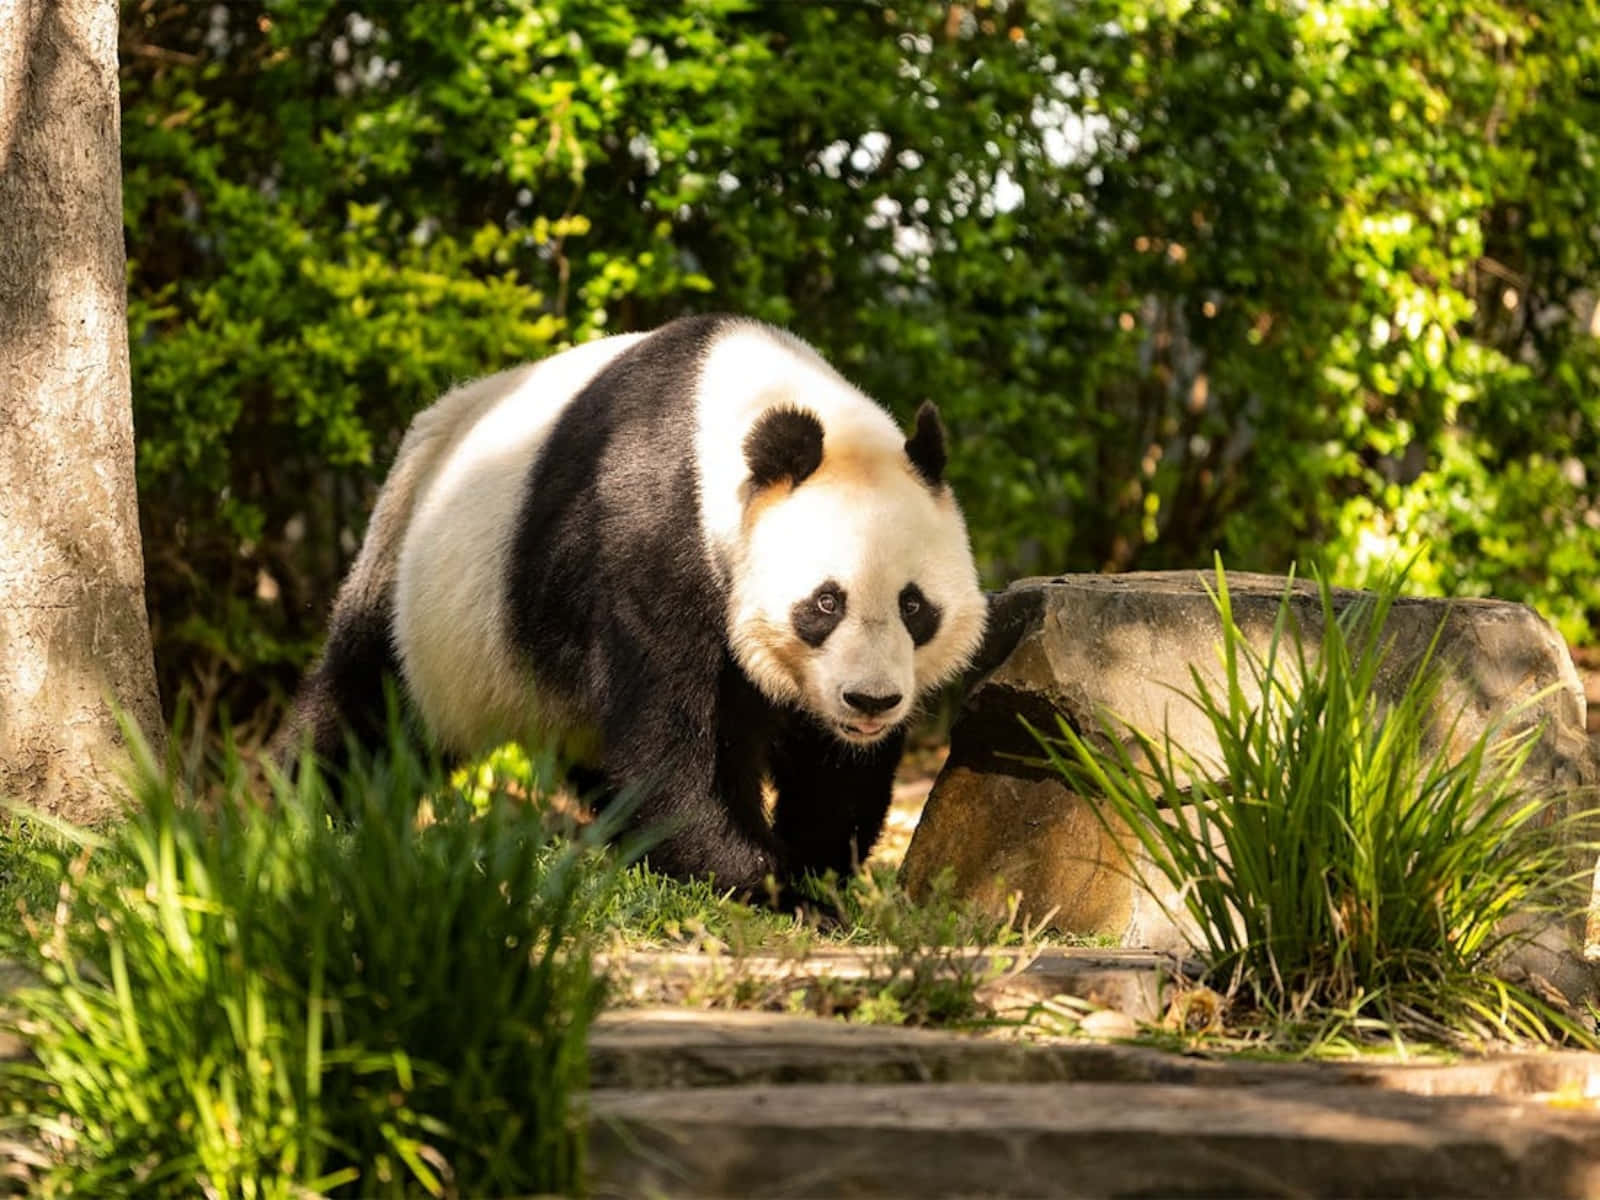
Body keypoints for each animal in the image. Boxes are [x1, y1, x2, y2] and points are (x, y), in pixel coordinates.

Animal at [281, 315, 992, 896]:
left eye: (914, 607)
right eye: (825, 602)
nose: (870, 702)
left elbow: (829, 766)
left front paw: (814, 872)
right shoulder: (650, 533)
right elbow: (667, 737)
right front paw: (759, 882)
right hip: (425, 593)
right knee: (368, 707)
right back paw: (298, 812)